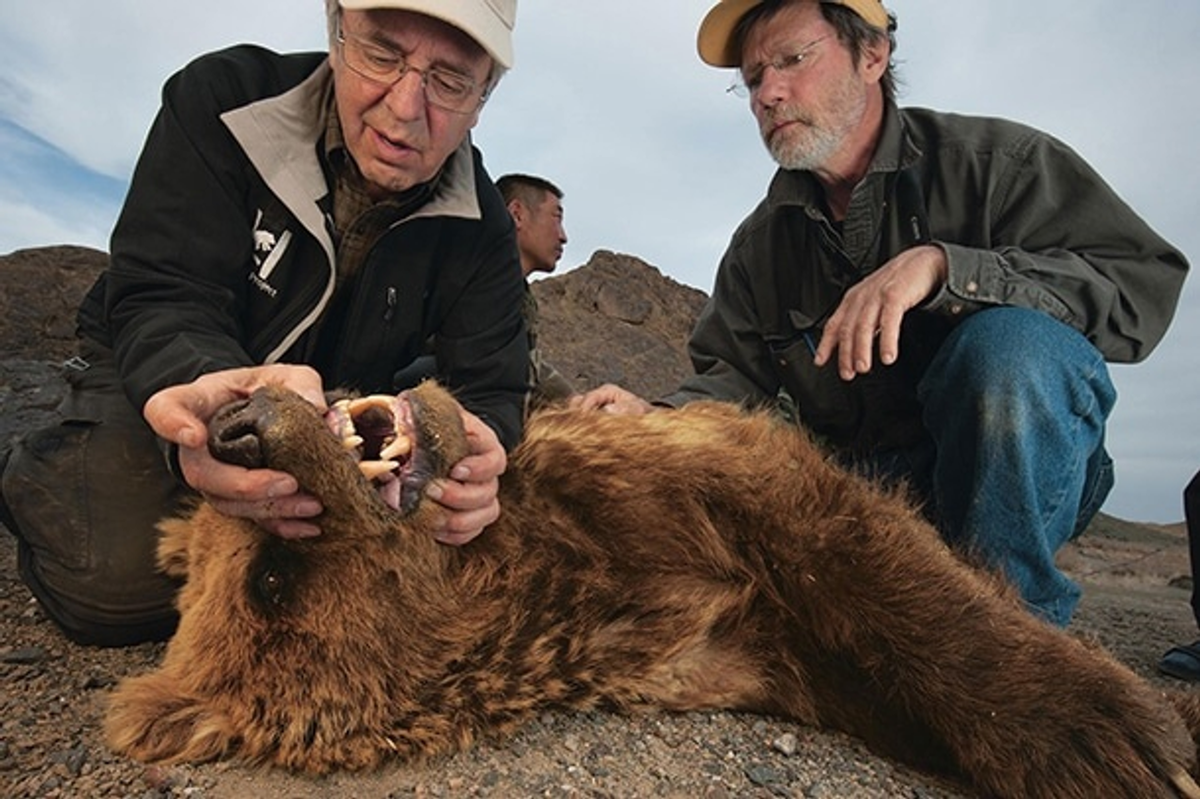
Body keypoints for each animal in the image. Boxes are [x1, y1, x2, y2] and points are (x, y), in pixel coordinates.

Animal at [105, 383, 1200, 791]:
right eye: (272, 581)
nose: (238, 423)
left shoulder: (679, 474)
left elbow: (867, 556)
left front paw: (1112, 736)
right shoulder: (714, 652)